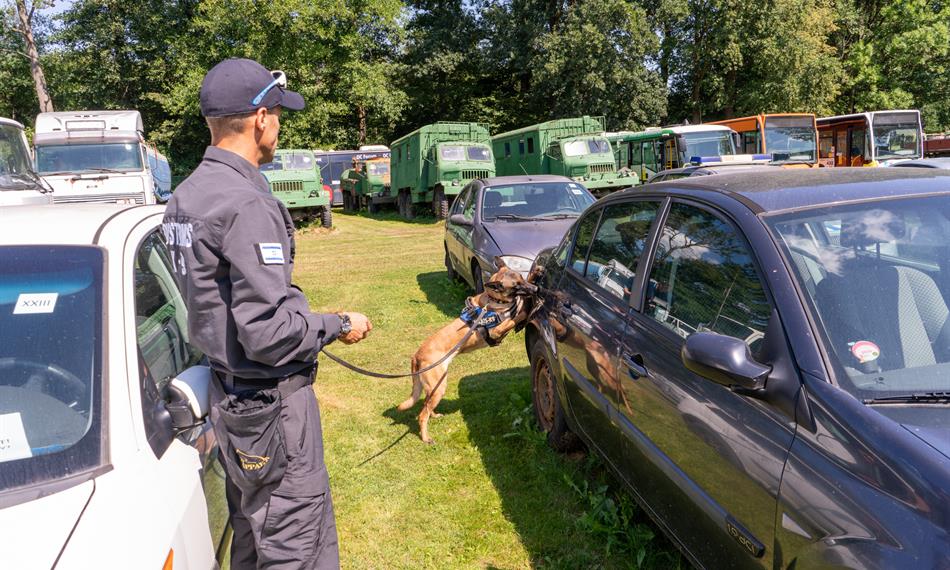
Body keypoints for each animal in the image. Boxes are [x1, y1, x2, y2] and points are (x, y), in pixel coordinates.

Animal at [398, 258, 540, 444]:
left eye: (521, 279)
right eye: (515, 286)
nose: (536, 290)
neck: (494, 300)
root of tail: (416, 356)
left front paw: (535, 274)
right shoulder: (497, 330)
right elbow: (517, 316)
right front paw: (527, 308)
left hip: (434, 388)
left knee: (425, 407)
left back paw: (434, 415)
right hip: (439, 387)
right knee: (422, 415)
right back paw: (426, 437)